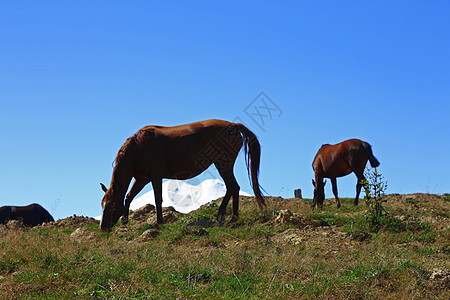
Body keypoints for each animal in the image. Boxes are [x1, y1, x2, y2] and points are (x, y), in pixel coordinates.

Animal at [100, 118, 266, 231]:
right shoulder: (141, 179)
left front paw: (159, 222)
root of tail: (235, 126)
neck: (138, 148)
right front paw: (125, 220)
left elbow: (158, 199)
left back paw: (226, 217)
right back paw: (231, 218)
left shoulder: (155, 177)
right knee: (233, 187)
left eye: (111, 206)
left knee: (232, 187)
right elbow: (129, 196)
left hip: (223, 164)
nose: (103, 228)